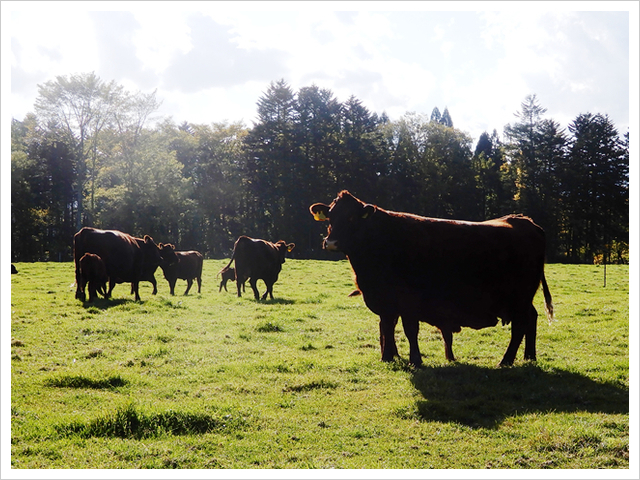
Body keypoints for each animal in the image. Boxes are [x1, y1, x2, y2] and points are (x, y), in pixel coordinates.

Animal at [308, 189, 552, 366]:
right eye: (330, 217)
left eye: (351, 217)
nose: (331, 242)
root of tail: (523, 220)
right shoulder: (385, 301)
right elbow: (387, 326)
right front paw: (387, 358)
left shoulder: (408, 300)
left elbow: (409, 330)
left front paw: (415, 360)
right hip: (522, 299)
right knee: (532, 318)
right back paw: (529, 357)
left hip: (519, 297)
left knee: (520, 325)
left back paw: (506, 361)